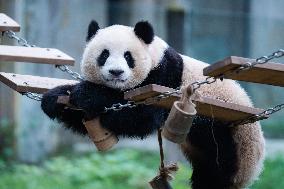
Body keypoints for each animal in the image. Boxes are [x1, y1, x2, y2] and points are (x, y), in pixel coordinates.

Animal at [41, 20, 266, 189]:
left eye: (128, 56)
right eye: (104, 55)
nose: (116, 72)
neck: (155, 55)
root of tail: (253, 170)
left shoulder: (165, 78)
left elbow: (141, 117)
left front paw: (87, 94)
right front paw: (55, 98)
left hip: (229, 140)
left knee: (217, 173)